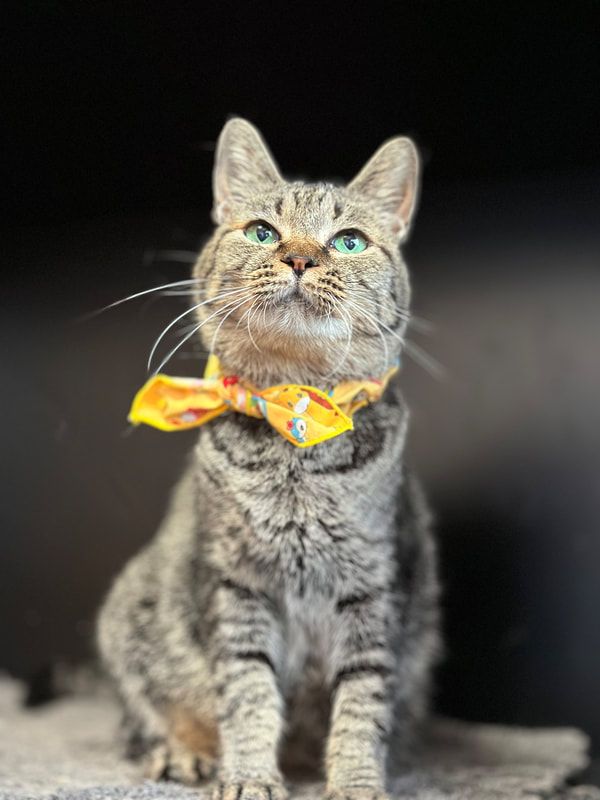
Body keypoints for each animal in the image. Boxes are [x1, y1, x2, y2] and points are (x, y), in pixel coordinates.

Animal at [96, 117, 438, 800]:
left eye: (349, 241)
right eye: (262, 232)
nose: (300, 258)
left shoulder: (373, 587)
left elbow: (363, 700)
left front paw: (356, 780)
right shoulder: (239, 587)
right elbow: (248, 692)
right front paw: (250, 776)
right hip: (129, 616)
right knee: (145, 718)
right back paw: (185, 753)